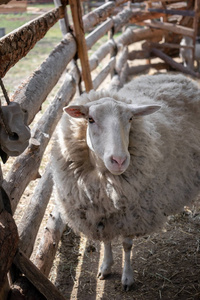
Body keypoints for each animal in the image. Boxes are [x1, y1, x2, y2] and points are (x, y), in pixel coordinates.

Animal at [51, 74, 200, 292]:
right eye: (90, 119)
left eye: (130, 118)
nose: (119, 160)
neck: (104, 182)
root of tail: (177, 76)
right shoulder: (101, 214)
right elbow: (106, 241)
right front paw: (105, 267)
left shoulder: (132, 213)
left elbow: (127, 245)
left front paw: (127, 277)